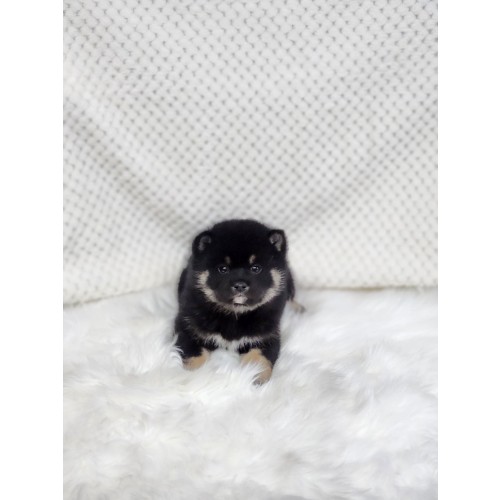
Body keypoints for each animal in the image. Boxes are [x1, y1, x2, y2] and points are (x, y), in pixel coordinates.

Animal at [173, 219, 299, 384]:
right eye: (223, 269)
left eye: (256, 268)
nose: (240, 285)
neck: (235, 313)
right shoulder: (188, 329)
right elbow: (194, 359)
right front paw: (193, 378)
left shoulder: (266, 337)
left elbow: (259, 361)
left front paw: (256, 378)